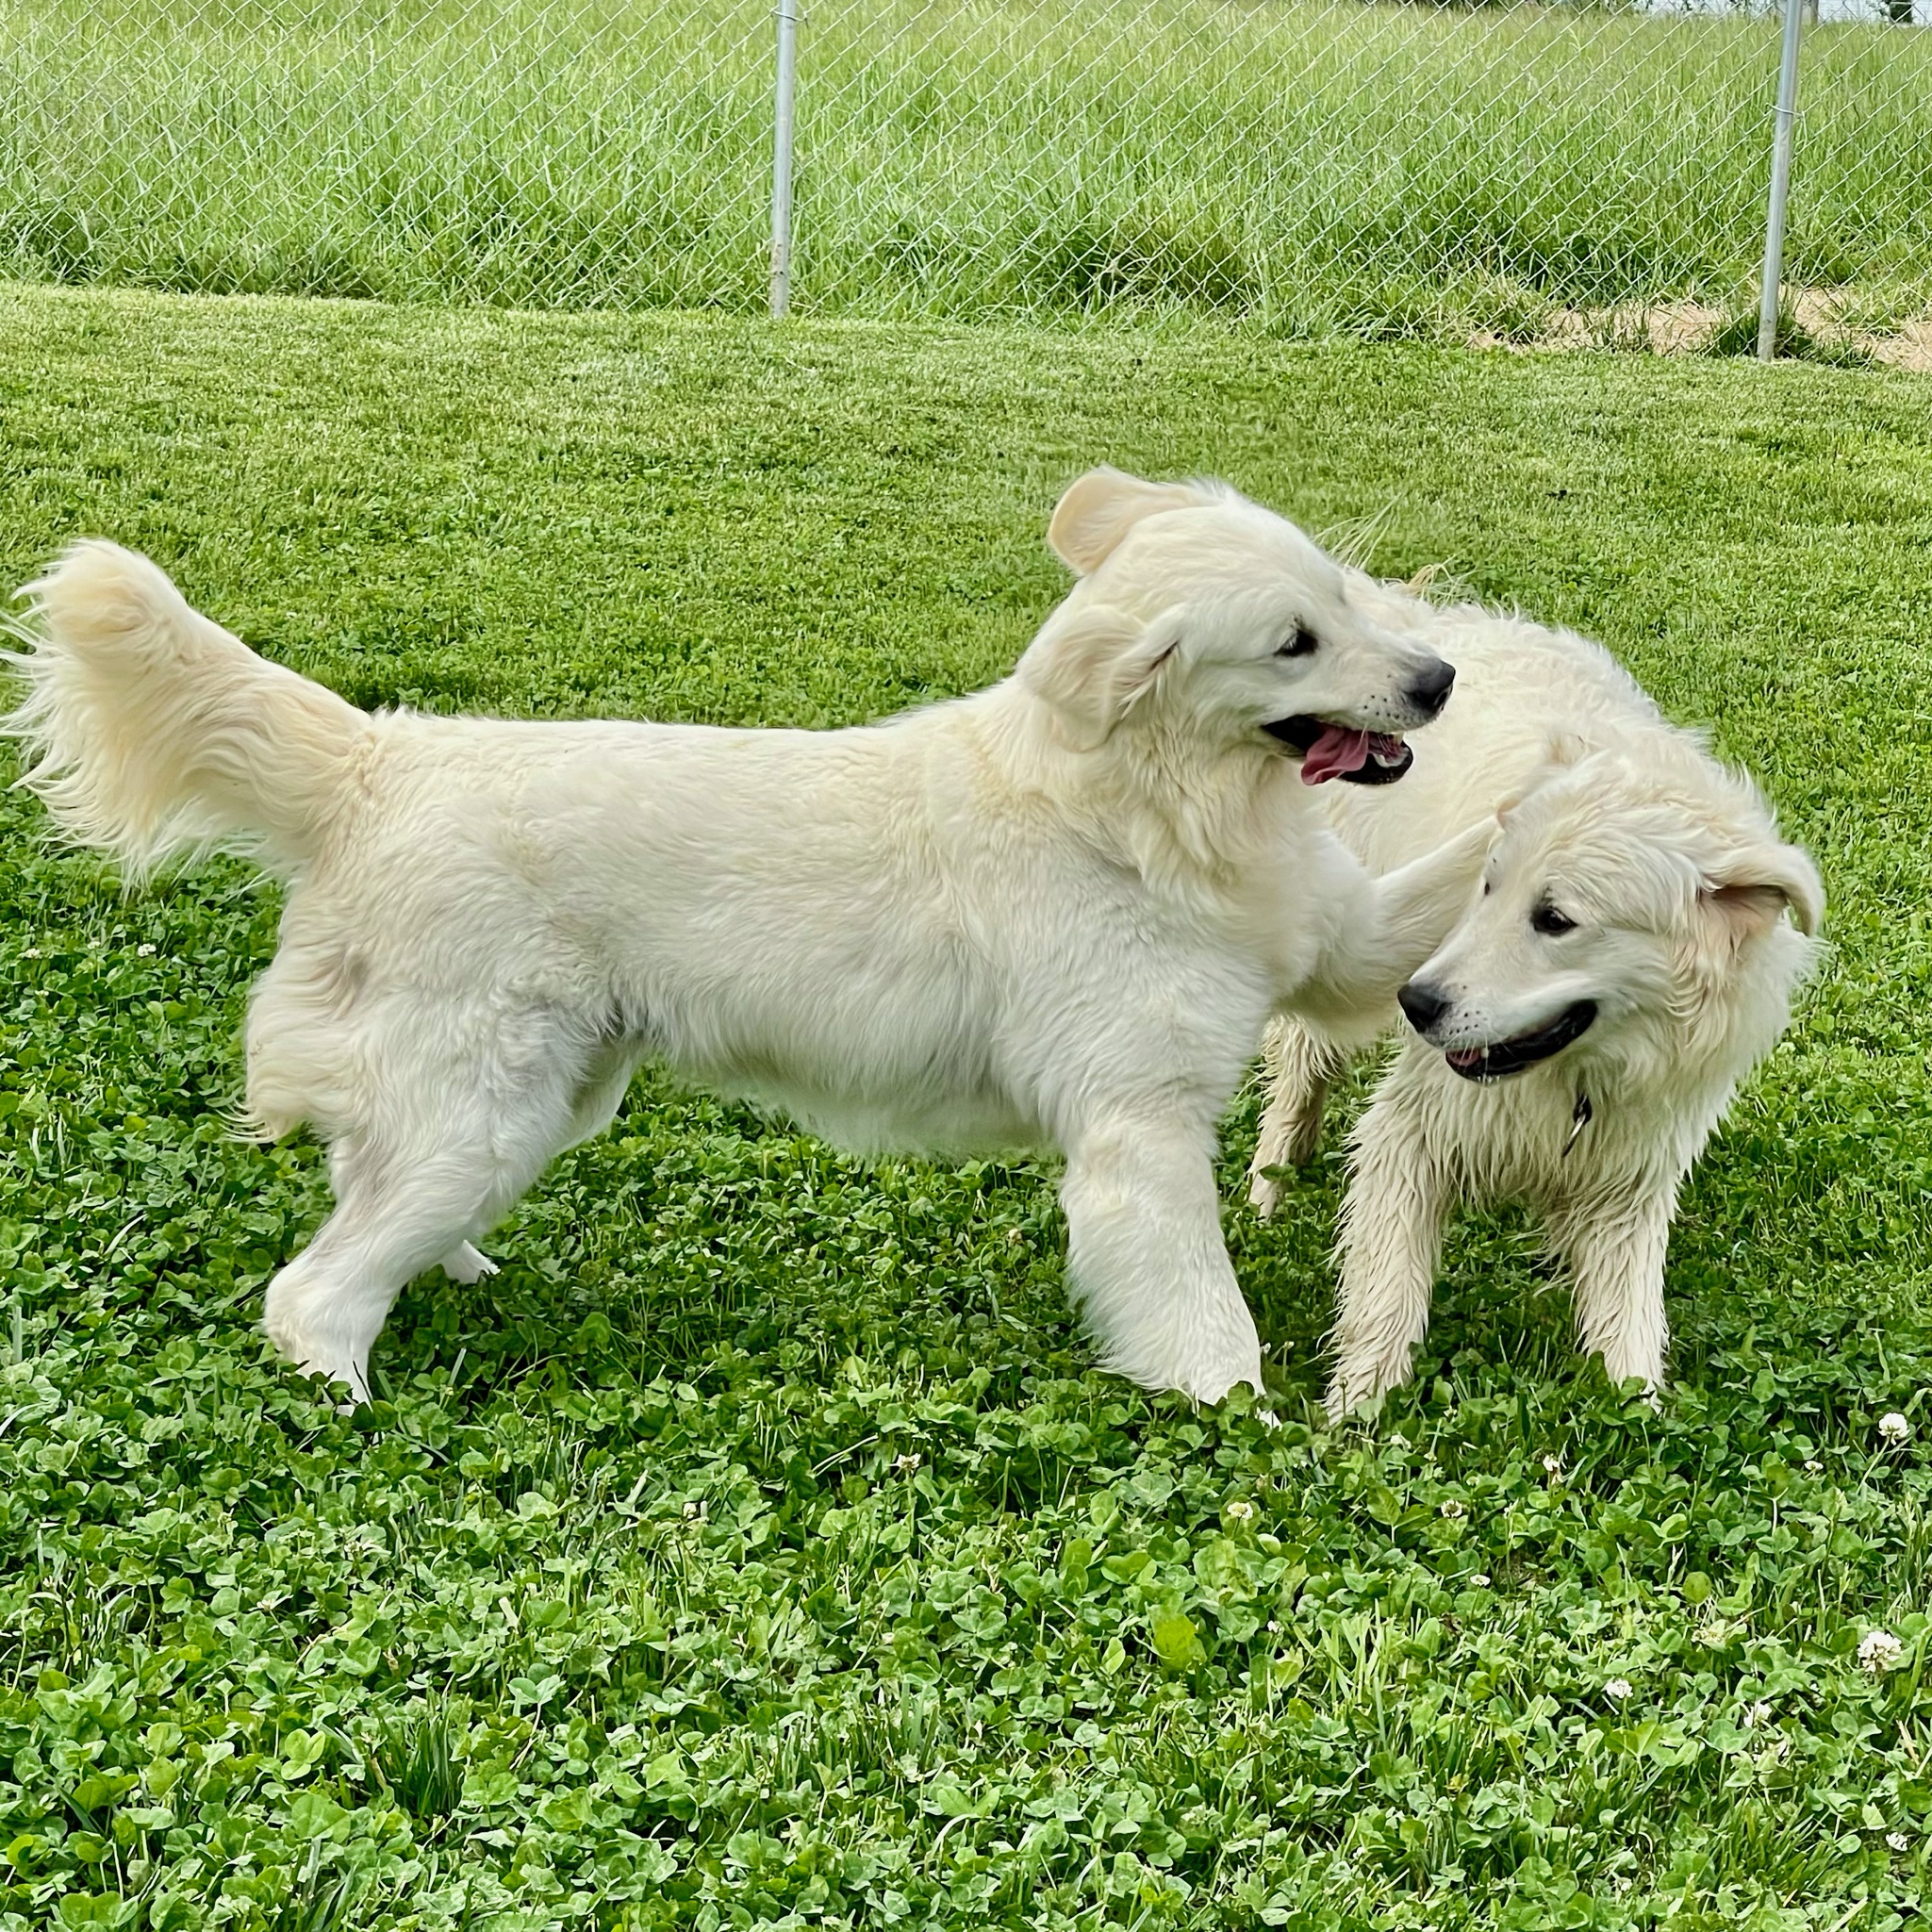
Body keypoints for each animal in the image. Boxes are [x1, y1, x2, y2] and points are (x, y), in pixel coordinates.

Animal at [8, 467, 1483, 1406]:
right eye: (1293, 643)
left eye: (1346, 599)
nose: (1440, 680)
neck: (1155, 809)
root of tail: (380, 757)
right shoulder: (1141, 1134)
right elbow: (1205, 1329)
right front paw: (1253, 1433)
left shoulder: (1346, 945)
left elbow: (1472, 856)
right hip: (481, 1116)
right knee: (310, 1295)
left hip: (528, 1108)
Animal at [1251, 579, 1824, 1413]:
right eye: (1486, 887)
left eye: (1554, 919)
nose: (1416, 1003)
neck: (1579, 1073)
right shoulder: (1411, 1133)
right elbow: (1385, 1298)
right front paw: (1355, 1415)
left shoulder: (1630, 1178)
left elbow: (1628, 1338)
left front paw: (1642, 1417)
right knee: (1295, 1072)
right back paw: (1265, 1194)